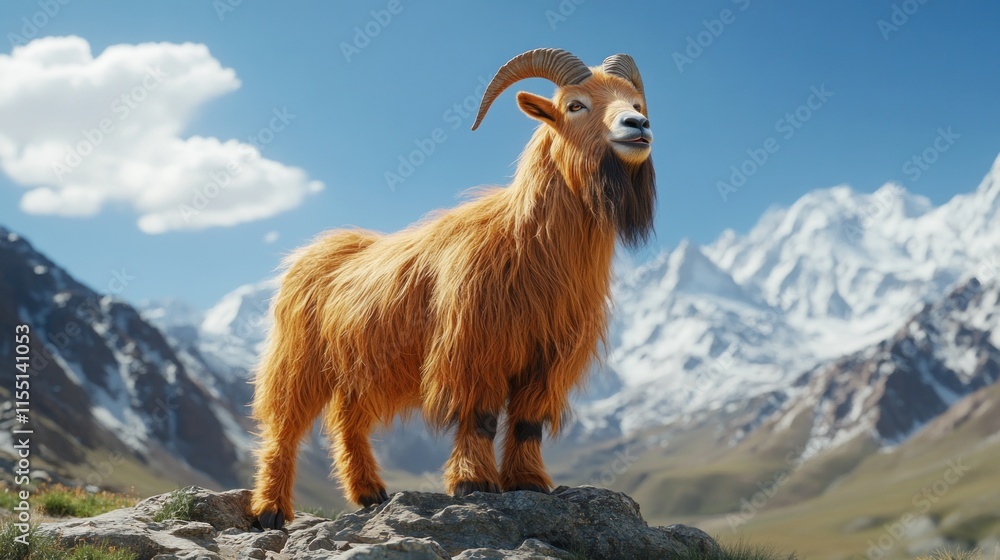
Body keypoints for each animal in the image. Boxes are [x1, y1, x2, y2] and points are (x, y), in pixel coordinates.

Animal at [250, 48, 655, 529]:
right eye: (575, 104)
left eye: (636, 101)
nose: (637, 125)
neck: (523, 239)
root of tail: (313, 252)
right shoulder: (474, 348)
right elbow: (479, 418)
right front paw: (472, 482)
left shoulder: (548, 359)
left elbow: (528, 422)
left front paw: (528, 481)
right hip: (299, 359)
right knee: (284, 426)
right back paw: (269, 509)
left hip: (359, 370)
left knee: (346, 420)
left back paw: (368, 491)